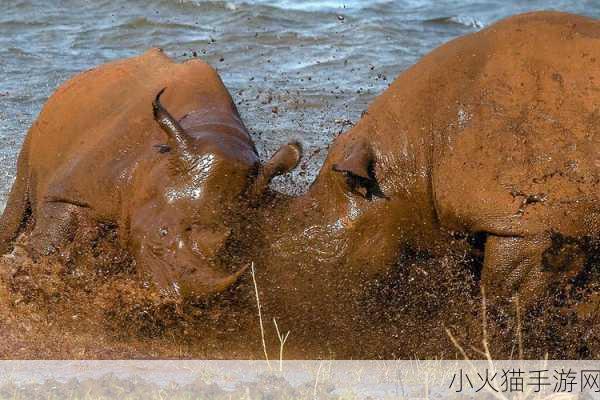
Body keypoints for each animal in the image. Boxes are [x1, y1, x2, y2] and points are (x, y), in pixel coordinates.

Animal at [0, 47, 300, 296]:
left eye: (233, 244)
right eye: (161, 235)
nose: (174, 297)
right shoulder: (73, 191)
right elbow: (52, 239)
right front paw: (23, 272)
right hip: (39, 131)